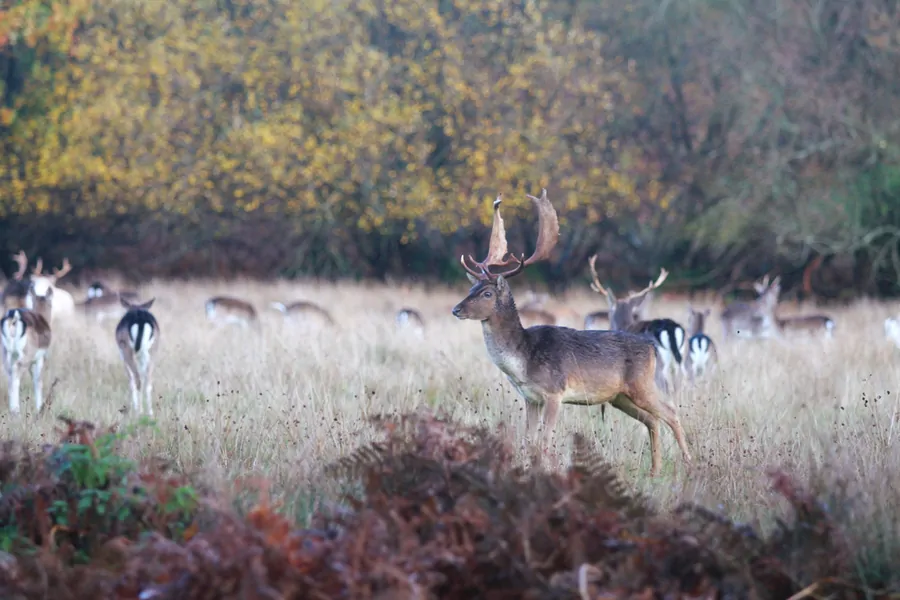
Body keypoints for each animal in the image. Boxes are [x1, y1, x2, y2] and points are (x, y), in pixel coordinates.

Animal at [0, 284, 52, 414]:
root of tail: (13, 318)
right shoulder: (39, 358)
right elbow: (37, 381)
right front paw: (39, 409)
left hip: (5, 354)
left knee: (9, 376)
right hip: (25, 356)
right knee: (16, 376)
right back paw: (15, 410)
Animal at [588, 256, 684, 394]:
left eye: (609, 313)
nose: (609, 327)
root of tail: (670, 328)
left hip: (658, 366)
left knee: (665, 387)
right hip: (681, 359)